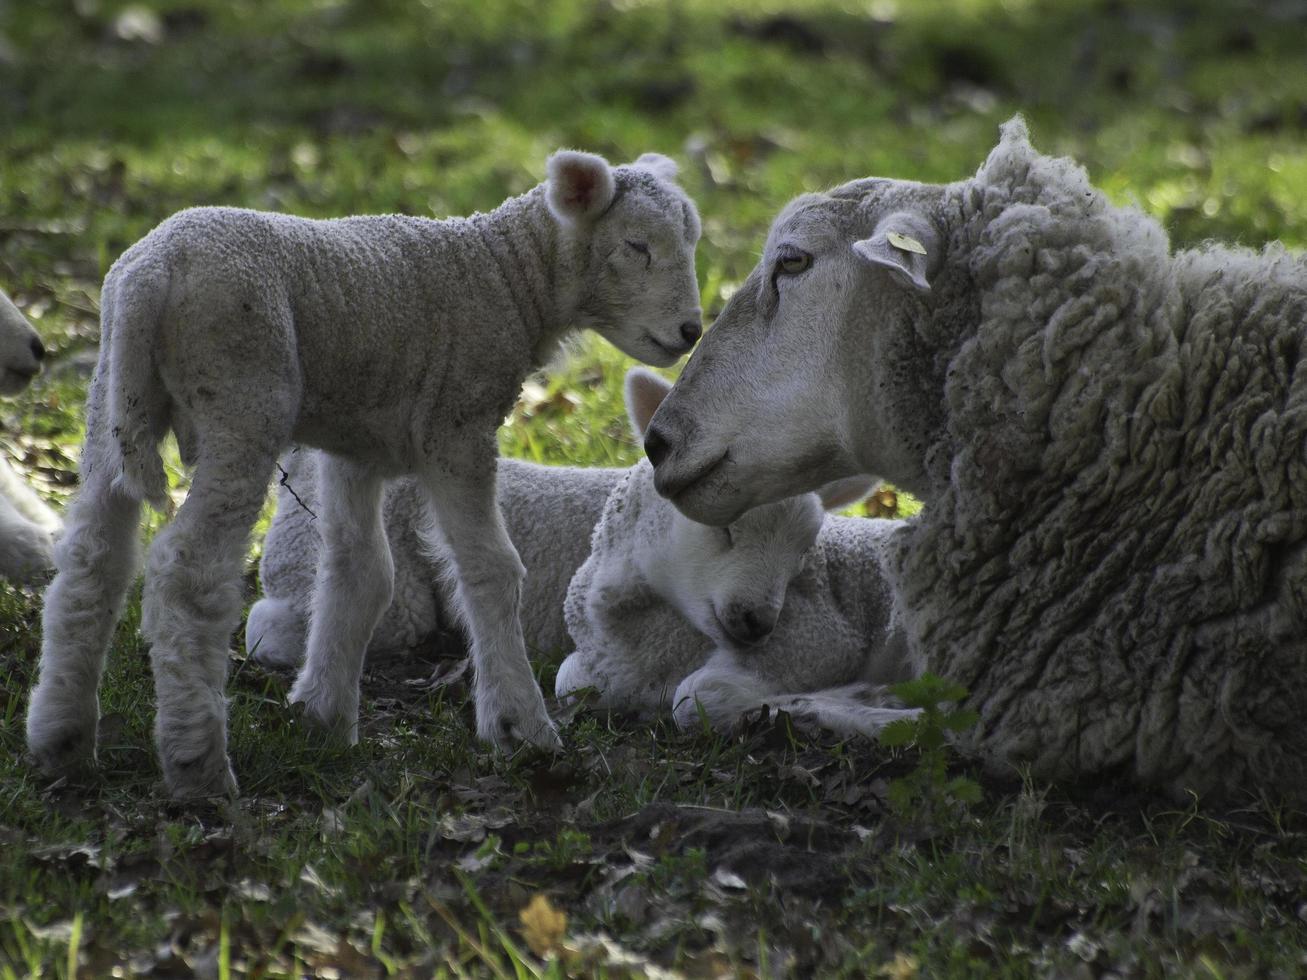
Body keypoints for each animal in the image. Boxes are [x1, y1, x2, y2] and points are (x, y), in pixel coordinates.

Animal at [25, 151, 705, 799]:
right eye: (636, 246)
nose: (692, 331)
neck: (505, 276)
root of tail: (151, 275)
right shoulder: (455, 428)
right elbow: (490, 569)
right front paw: (518, 728)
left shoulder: (360, 446)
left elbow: (361, 575)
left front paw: (323, 720)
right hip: (241, 397)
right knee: (186, 572)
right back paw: (198, 764)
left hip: (112, 400)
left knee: (92, 560)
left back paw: (62, 741)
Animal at [556, 368, 914, 736]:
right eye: (725, 527)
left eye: (802, 551)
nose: (758, 622)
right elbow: (566, 681)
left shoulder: (819, 640)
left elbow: (694, 697)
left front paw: (864, 704)